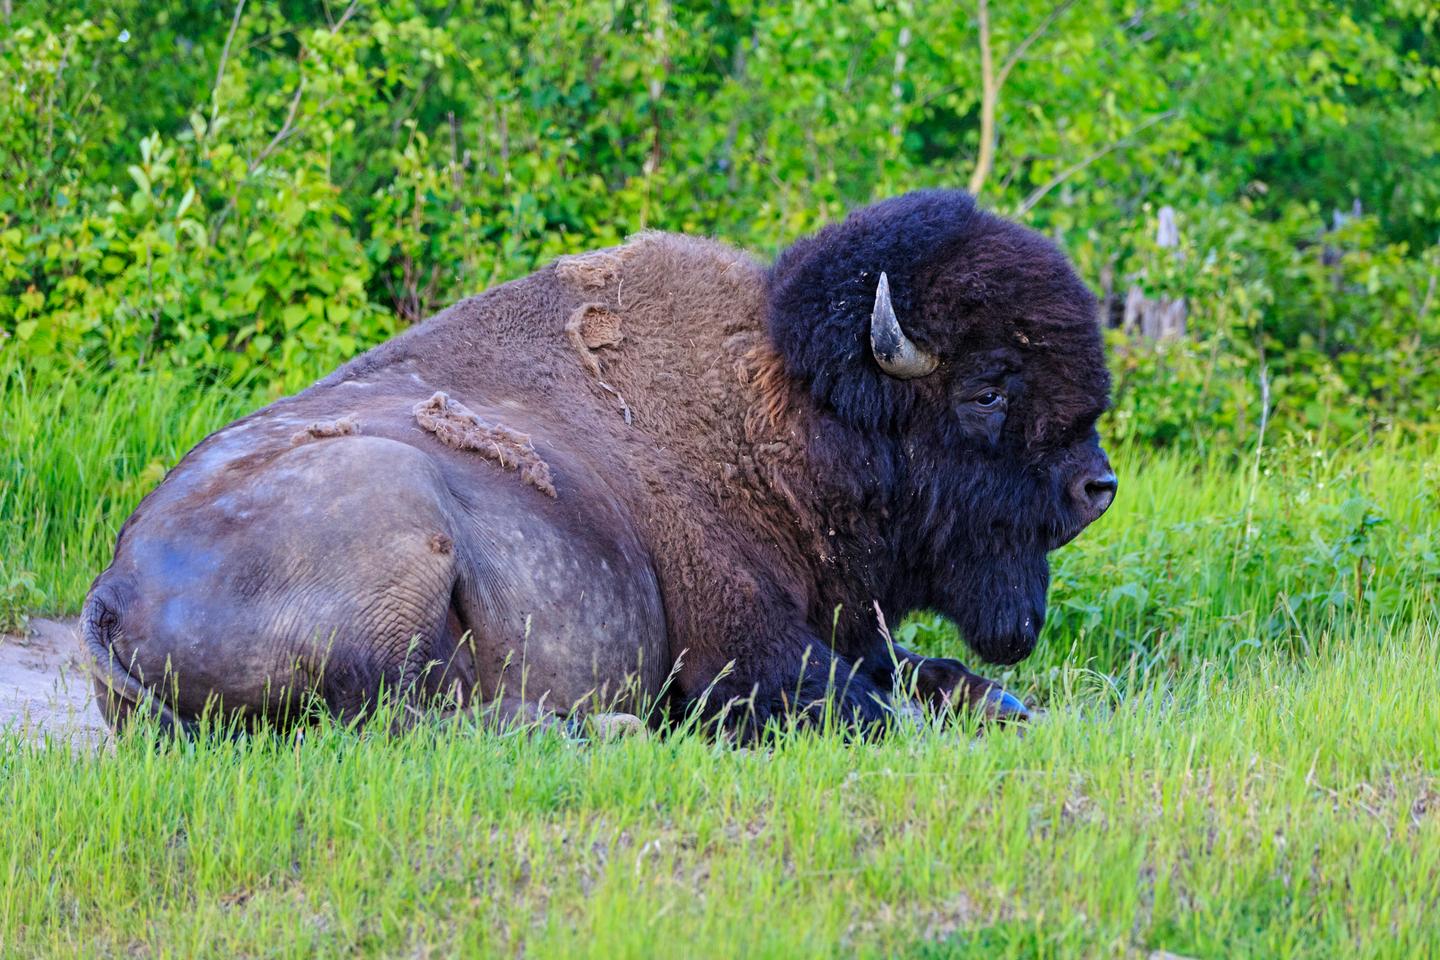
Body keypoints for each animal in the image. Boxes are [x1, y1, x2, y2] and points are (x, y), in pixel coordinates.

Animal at [83, 190, 1115, 738]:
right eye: (989, 389)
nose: (1095, 488)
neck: (779, 416)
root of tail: (111, 593)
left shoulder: (852, 630)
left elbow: (930, 671)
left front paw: (1011, 702)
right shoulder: (749, 646)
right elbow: (860, 704)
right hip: (398, 524)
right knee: (427, 720)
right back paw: (616, 726)